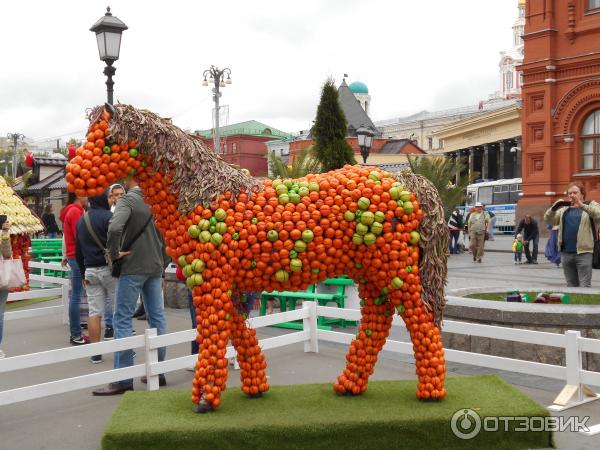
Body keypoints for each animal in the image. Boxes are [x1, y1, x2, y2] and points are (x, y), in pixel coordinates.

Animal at [67, 103, 450, 414]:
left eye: (107, 140)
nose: (73, 175)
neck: (203, 196)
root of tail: (406, 180)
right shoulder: (227, 283)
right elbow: (237, 329)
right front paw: (254, 386)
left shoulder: (210, 280)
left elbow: (213, 333)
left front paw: (205, 397)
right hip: (372, 271)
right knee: (377, 319)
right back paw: (349, 384)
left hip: (396, 269)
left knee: (421, 320)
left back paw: (431, 391)